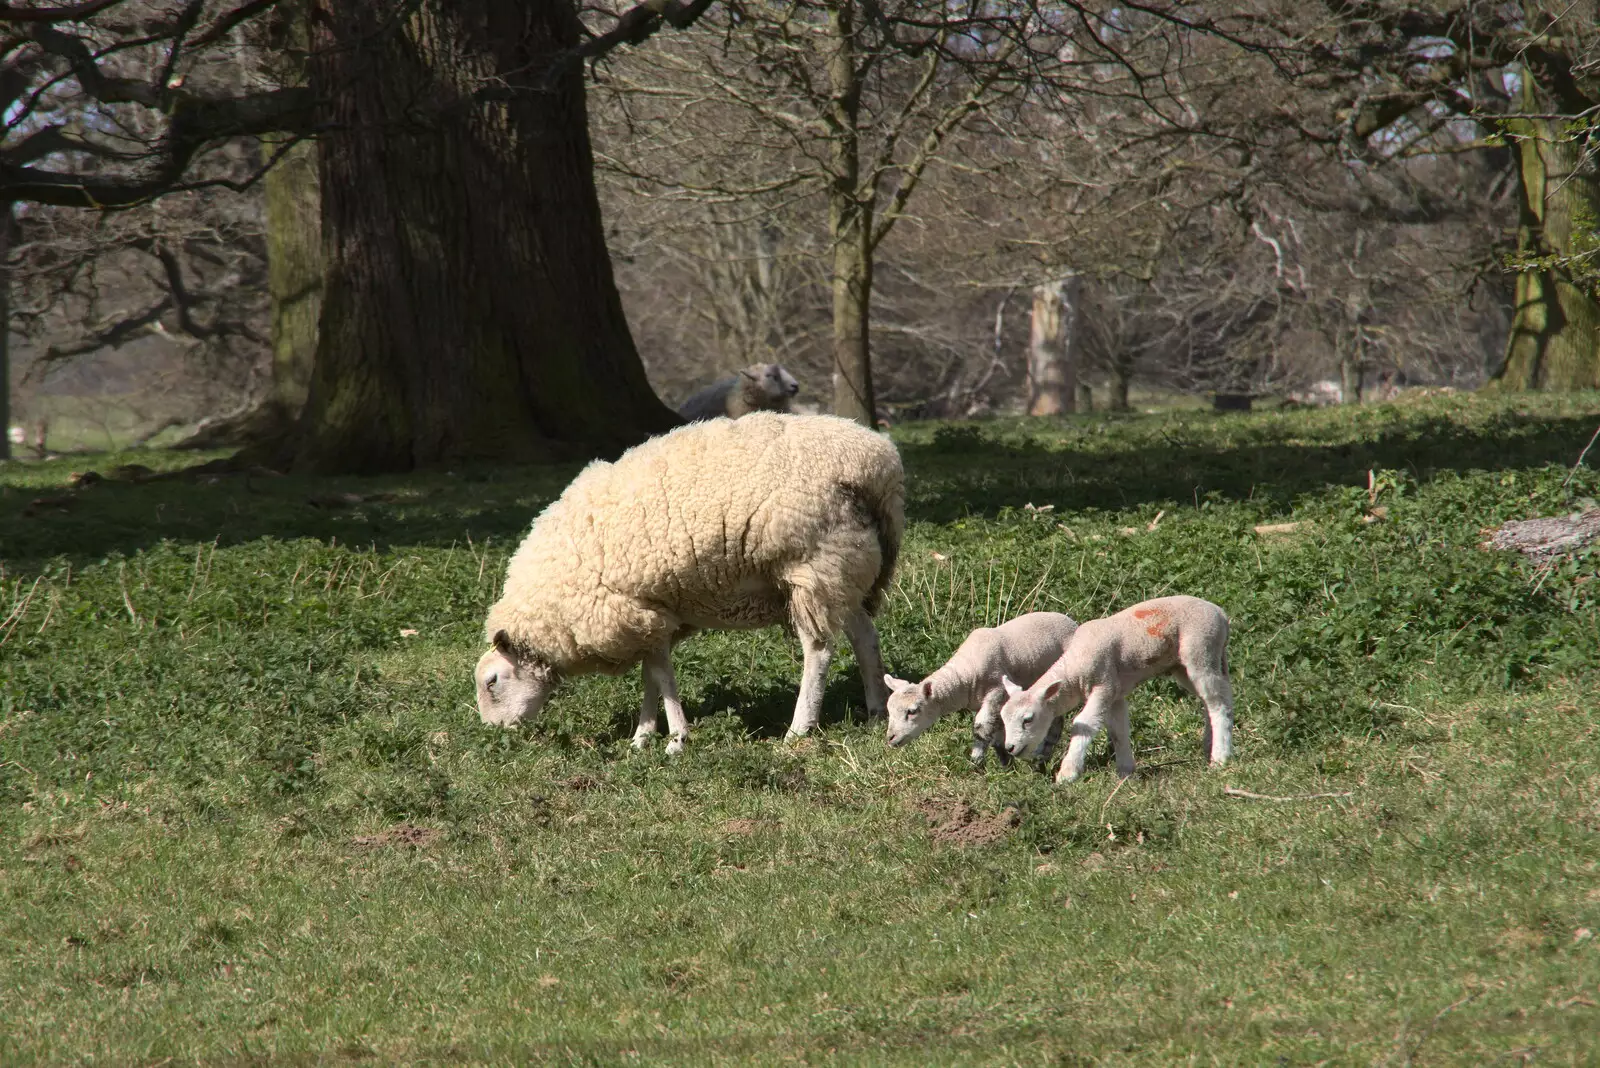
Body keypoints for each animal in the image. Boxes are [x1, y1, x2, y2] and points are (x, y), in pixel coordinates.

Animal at [470, 409, 902, 751]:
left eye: (492, 682)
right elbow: (651, 675)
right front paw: (643, 737)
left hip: (813, 565)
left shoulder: (632, 613)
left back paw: (799, 728)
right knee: (865, 637)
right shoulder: (648, 616)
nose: (496, 733)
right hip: (846, 565)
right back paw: (876, 711)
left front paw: (676, 739)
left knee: (819, 649)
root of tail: (876, 465)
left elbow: (662, 677)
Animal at [883, 607, 1081, 767]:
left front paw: (977, 763)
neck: (965, 672)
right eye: (889, 711)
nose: (890, 738)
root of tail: (1070, 620)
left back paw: (1042, 755)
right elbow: (996, 732)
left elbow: (981, 728)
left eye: (912, 711)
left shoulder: (997, 691)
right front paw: (1006, 763)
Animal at [998, 597, 1235, 780]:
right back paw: (1209, 745)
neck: (1074, 667)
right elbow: (1118, 730)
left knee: (1218, 704)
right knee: (1213, 699)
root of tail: (1221, 614)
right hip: (1184, 666)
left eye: (1028, 719)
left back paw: (1220, 757)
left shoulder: (1104, 685)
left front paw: (1068, 773)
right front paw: (1126, 772)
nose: (1010, 748)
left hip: (1201, 649)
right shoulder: (1116, 694)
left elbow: (1083, 724)